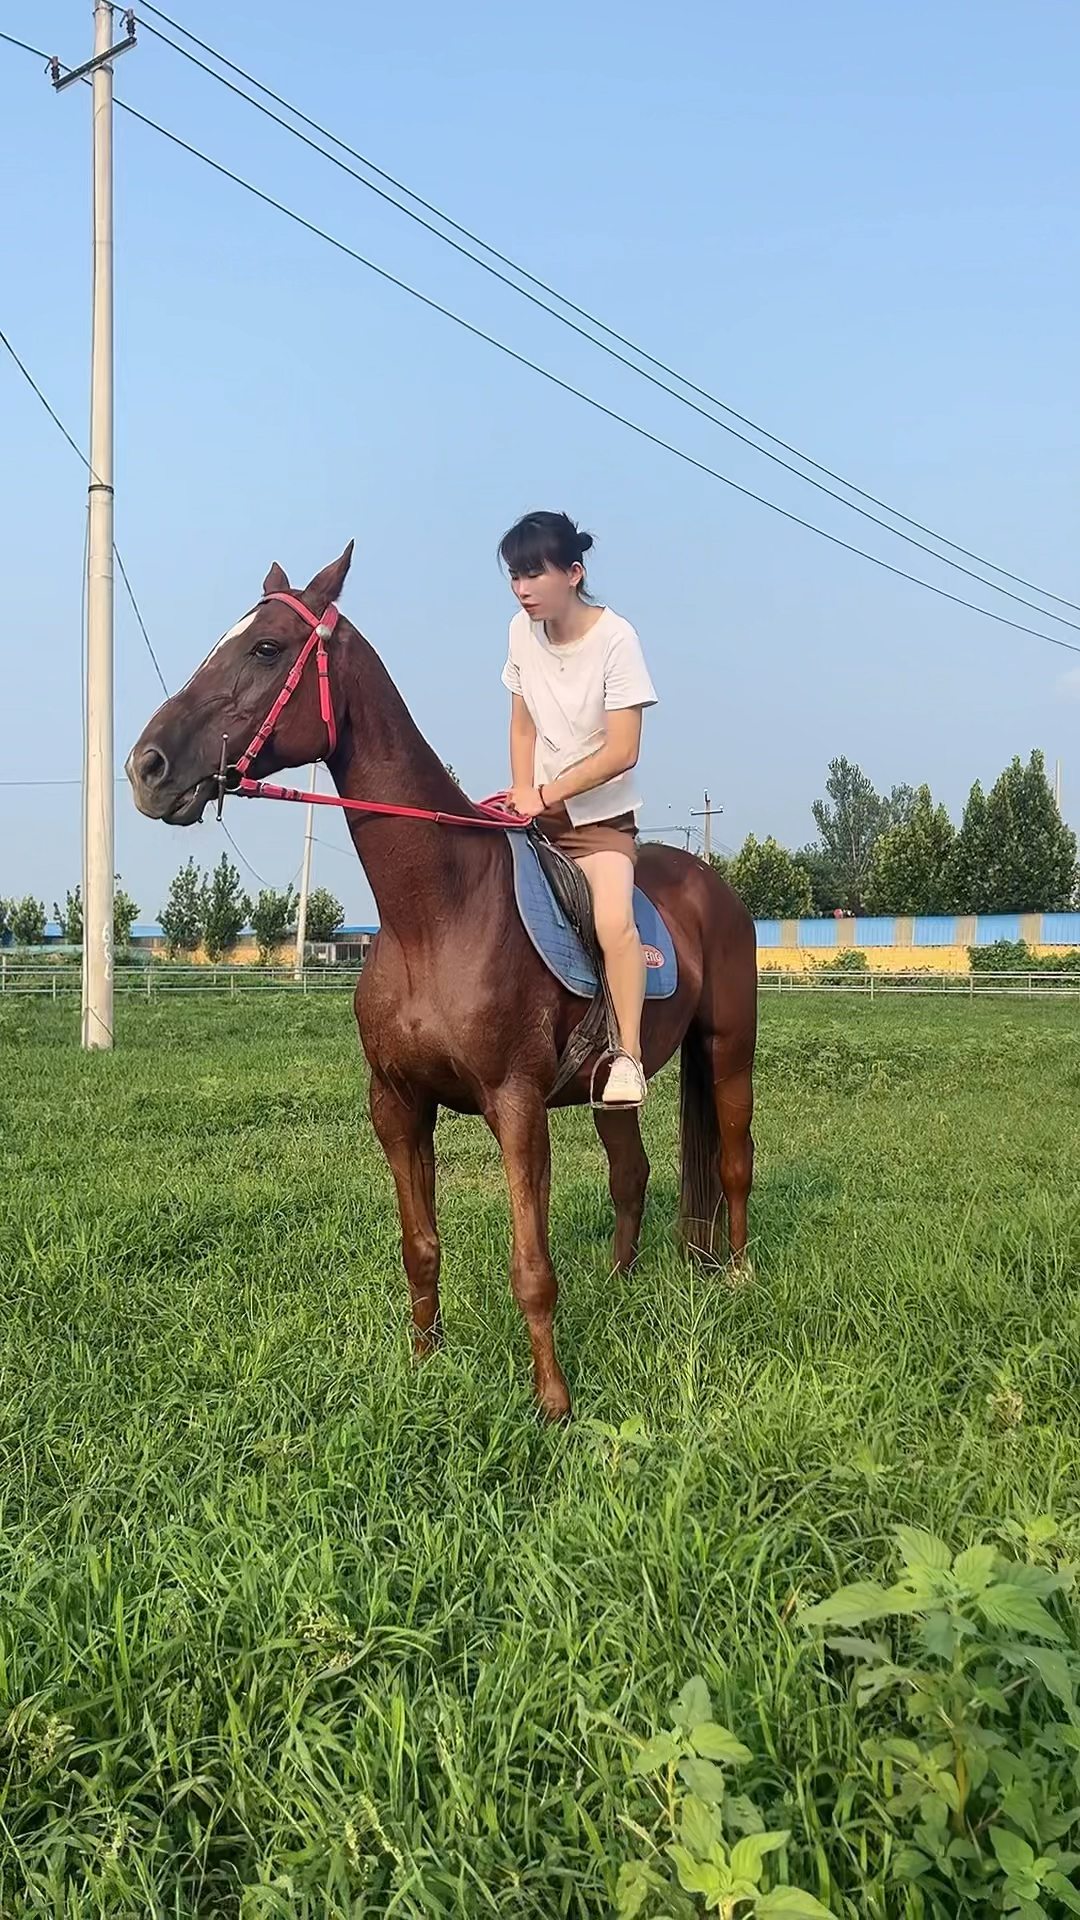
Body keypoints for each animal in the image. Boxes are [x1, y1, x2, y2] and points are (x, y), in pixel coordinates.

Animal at [125, 549, 753, 1420]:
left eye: (268, 648)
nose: (146, 767)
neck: (438, 912)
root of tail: (713, 885)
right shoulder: (397, 1106)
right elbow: (419, 1247)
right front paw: (424, 1366)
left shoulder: (516, 1106)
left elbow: (531, 1267)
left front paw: (553, 1403)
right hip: (608, 1089)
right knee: (633, 1176)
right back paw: (622, 1284)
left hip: (728, 1050)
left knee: (734, 1164)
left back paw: (740, 1276)